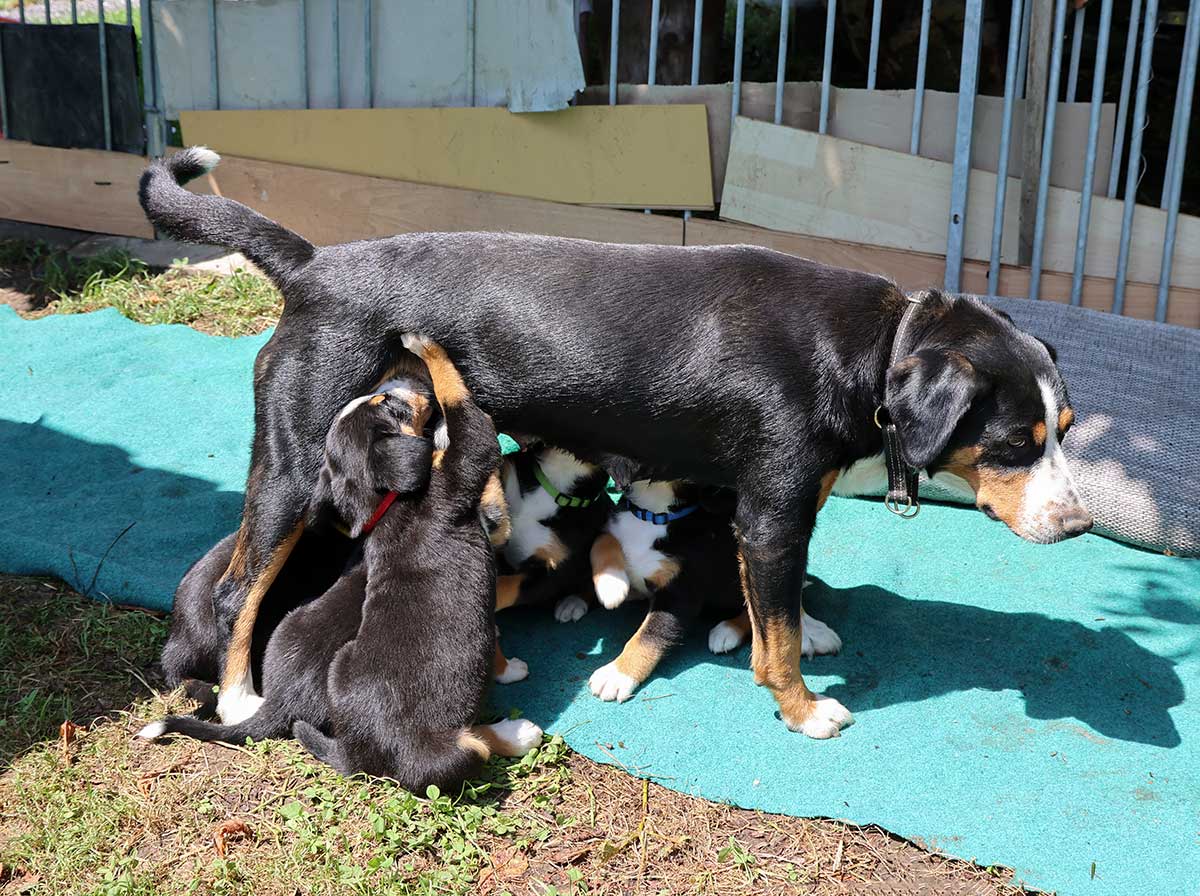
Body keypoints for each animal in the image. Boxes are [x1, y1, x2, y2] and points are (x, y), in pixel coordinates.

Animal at [136, 145, 1094, 734]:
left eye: (1064, 431)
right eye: (1017, 444)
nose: (1083, 525)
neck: (872, 347)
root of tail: (314, 265)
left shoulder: (761, 511)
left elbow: (769, 605)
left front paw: (789, 628)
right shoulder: (773, 513)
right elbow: (775, 632)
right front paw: (801, 709)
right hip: (296, 462)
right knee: (239, 590)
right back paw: (237, 698)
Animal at [292, 338, 542, 791]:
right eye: (388, 403)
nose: (401, 377)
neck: (388, 502)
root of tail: (358, 755)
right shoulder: (466, 464)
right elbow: (463, 408)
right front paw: (425, 346)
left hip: (340, 664)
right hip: (454, 757)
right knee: (478, 744)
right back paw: (517, 733)